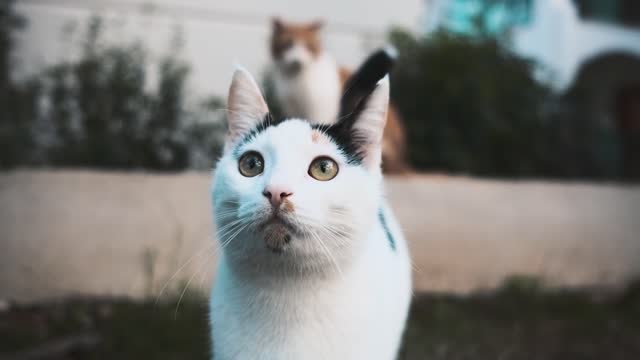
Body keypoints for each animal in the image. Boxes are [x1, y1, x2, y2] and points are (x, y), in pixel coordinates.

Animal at [270, 17, 410, 173]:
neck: (296, 79)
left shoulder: (321, 108)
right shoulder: (292, 108)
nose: (297, 61)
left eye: (308, 46)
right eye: (288, 44)